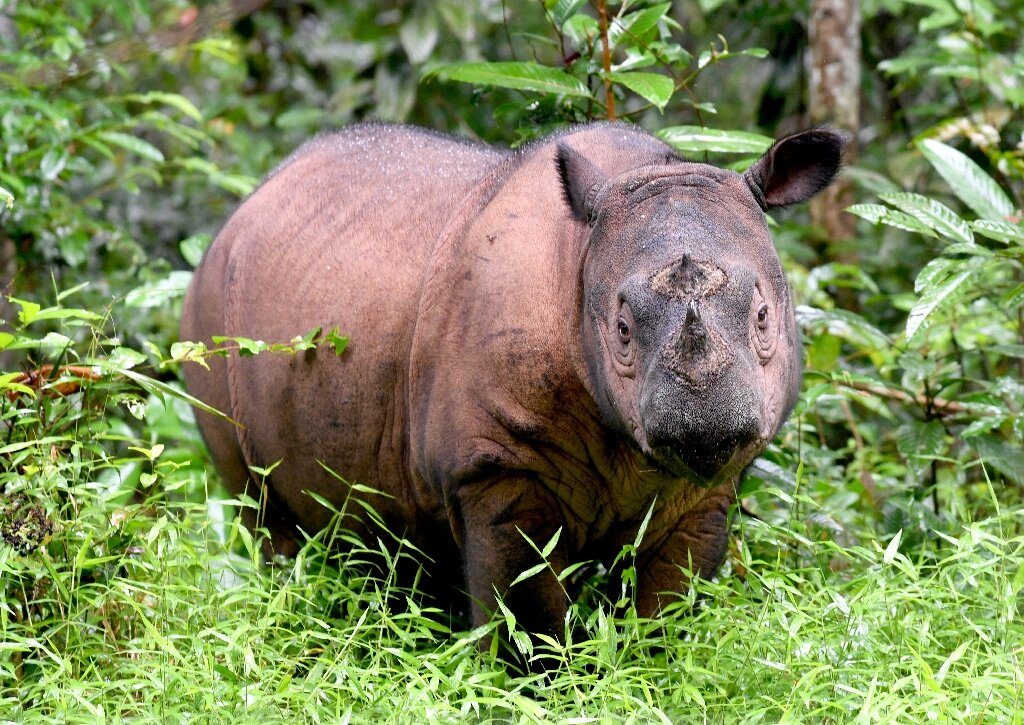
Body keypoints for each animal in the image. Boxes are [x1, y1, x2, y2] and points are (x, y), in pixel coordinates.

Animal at [180, 123, 843, 638]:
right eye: (622, 329)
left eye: (765, 318)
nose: (706, 425)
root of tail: (246, 204)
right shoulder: (496, 468)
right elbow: (527, 616)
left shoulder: (705, 490)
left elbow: (667, 610)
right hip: (207, 311)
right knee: (261, 509)